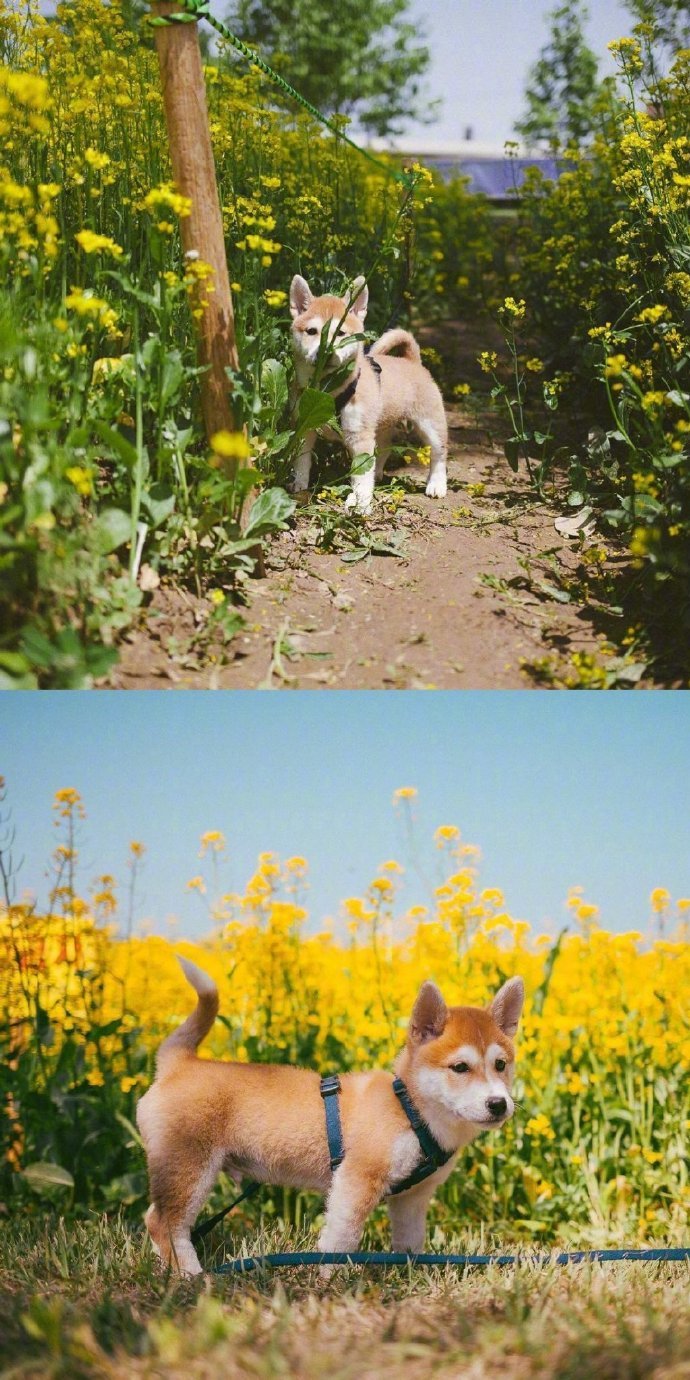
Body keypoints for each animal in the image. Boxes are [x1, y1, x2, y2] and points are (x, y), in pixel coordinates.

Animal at [135, 960, 521, 1269]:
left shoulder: (412, 1199)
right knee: (164, 1223)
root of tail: (179, 1062)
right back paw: (191, 1275)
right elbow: (341, 1240)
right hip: (189, 1166)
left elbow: (409, 1245)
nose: (498, 1104)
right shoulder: (356, 1181)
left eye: (501, 1065)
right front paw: (330, 1280)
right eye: (460, 1067)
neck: (411, 1109)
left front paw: (408, 1274)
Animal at [288, 271, 449, 516]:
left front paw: (362, 504)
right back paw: (379, 474)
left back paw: (437, 485)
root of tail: (412, 361)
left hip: (430, 423)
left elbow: (361, 477)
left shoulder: (360, 437)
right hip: (381, 425)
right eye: (312, 331)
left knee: (439, 453)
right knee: (382, 451)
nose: (326, 351)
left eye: (341, 333)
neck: (329, 392)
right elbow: (302, 462)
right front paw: (299, 485)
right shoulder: (305, 428)